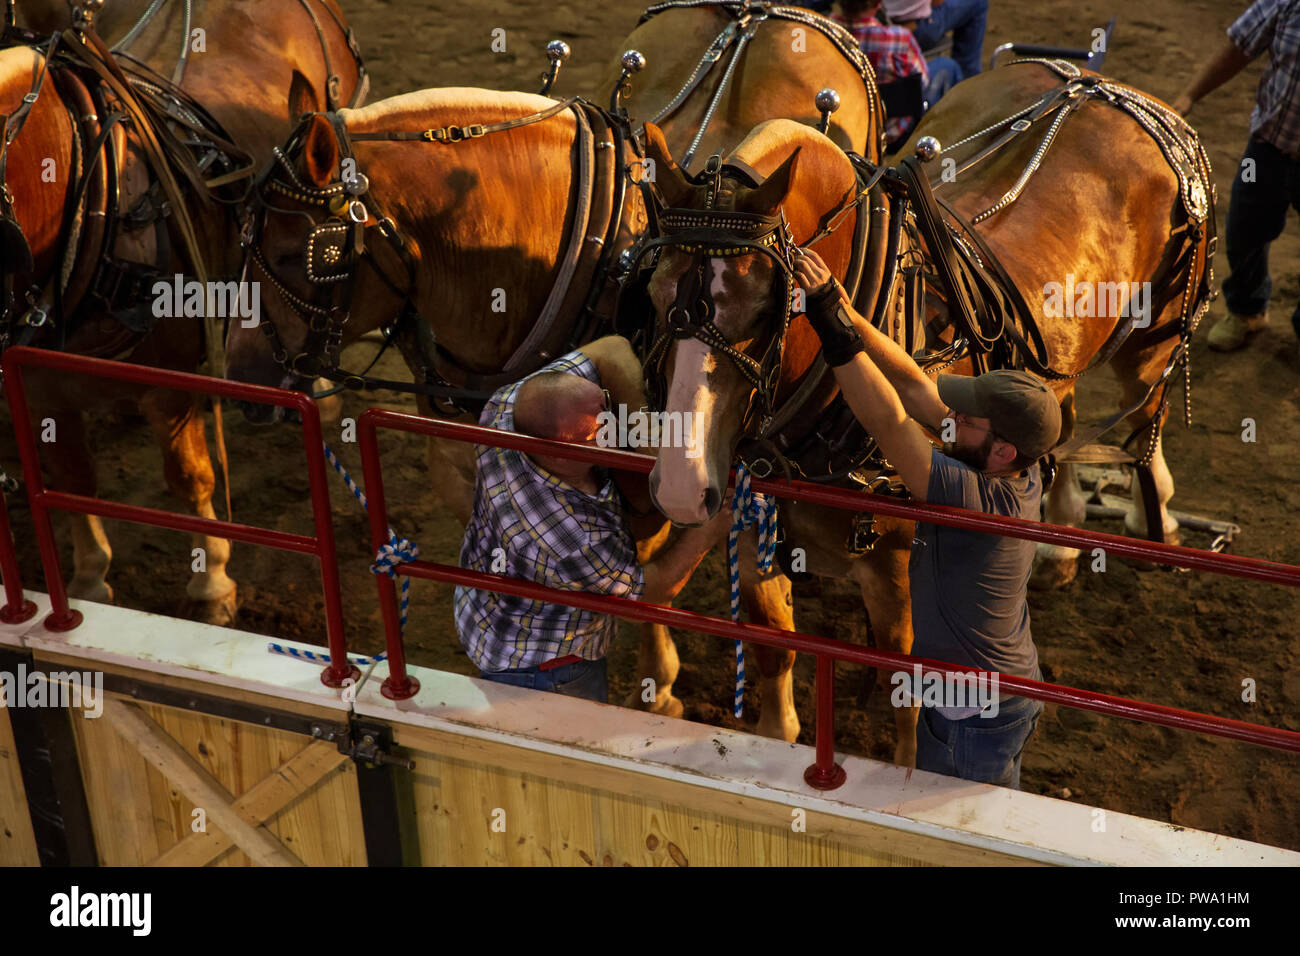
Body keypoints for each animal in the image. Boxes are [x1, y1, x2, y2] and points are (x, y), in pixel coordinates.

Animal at [2, 3, 364, 624]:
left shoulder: (168, 382)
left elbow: (189, 475)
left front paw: (212, 581)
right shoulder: (43, 385)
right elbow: (72, 478)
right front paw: (90, 581)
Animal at [644, 65, 1211, 764]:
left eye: (764, 305)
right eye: (653, 293)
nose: (680, 486)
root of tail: (1098, 84)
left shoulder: (896, 571)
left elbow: (907, 699)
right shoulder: (754, 527)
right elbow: (776, 649)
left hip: (1151, 340)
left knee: (1143, 422)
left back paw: (1154, 518)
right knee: (1065, 414)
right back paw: (1059, 546)